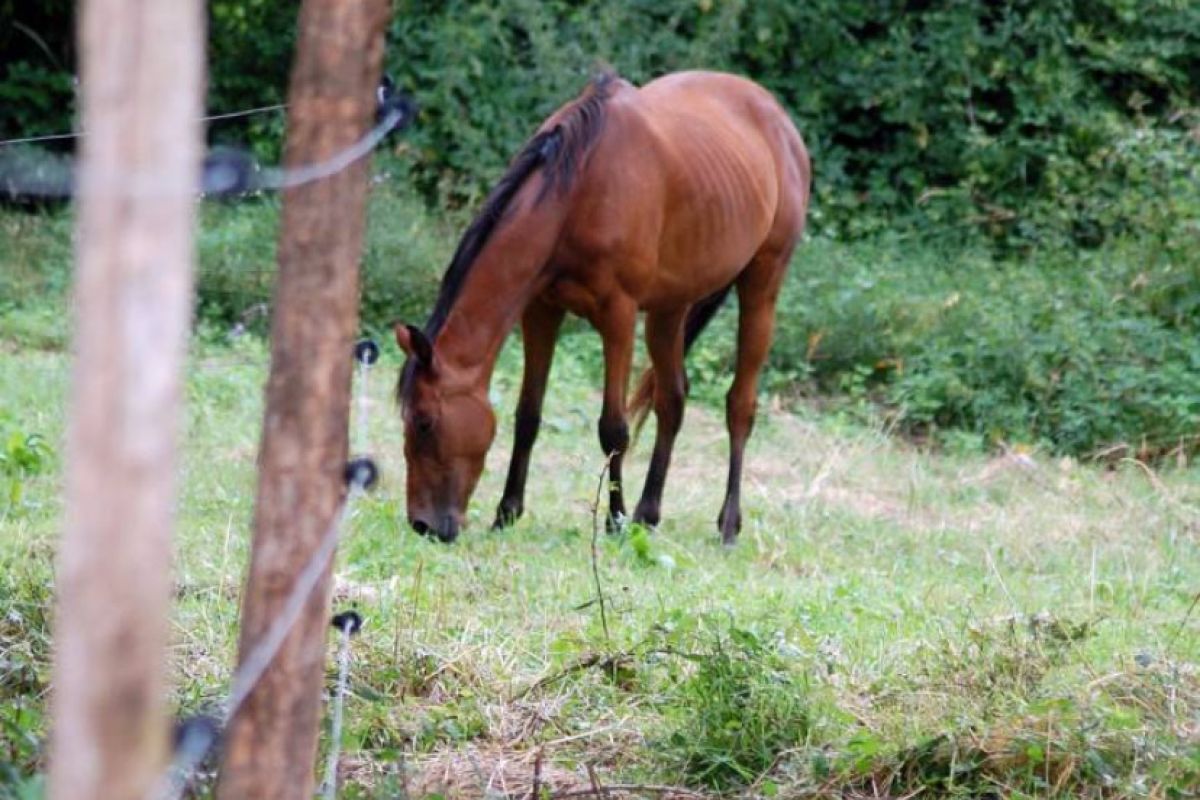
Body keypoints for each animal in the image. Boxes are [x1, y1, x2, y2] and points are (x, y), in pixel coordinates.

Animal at [398, 70, 811, 544]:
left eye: (425, 422)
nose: (424, 524)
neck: (579, 187)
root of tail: (778, 118)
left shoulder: (619, 315)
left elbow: (613, 428)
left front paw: (614, 519)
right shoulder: (540, 310)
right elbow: (528, 415)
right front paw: (507, 512)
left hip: (761, 287)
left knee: (739, 407)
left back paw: (727, 525)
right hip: (670, 309)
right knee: (672, 400)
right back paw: (648, 514)